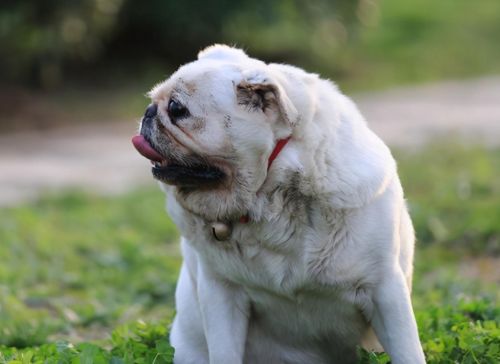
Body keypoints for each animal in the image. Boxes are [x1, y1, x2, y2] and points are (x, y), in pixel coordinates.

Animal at [131, 44, 424, 362]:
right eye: (155, 101)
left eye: (176, 109)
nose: (148, 112)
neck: (267, 196)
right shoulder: (221, 294)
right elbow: (224, 352)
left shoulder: (385, 290)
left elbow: (408, 351)